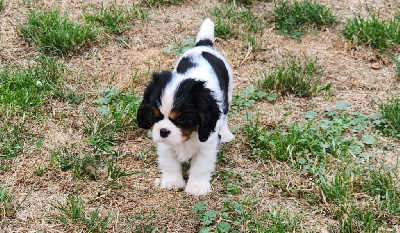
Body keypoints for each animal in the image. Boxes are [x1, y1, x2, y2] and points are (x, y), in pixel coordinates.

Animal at [138, 18, 234, 197]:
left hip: (229, 90)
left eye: (182, 118)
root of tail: (204, 45)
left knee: (224, 115)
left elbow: (200, 168)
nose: (163, 131)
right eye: (155, 115)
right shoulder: (165, 146)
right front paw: (173, 181)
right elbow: (170, 164)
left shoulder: (206, 146)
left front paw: (196, 187)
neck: (189, 136)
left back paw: (225, 134)